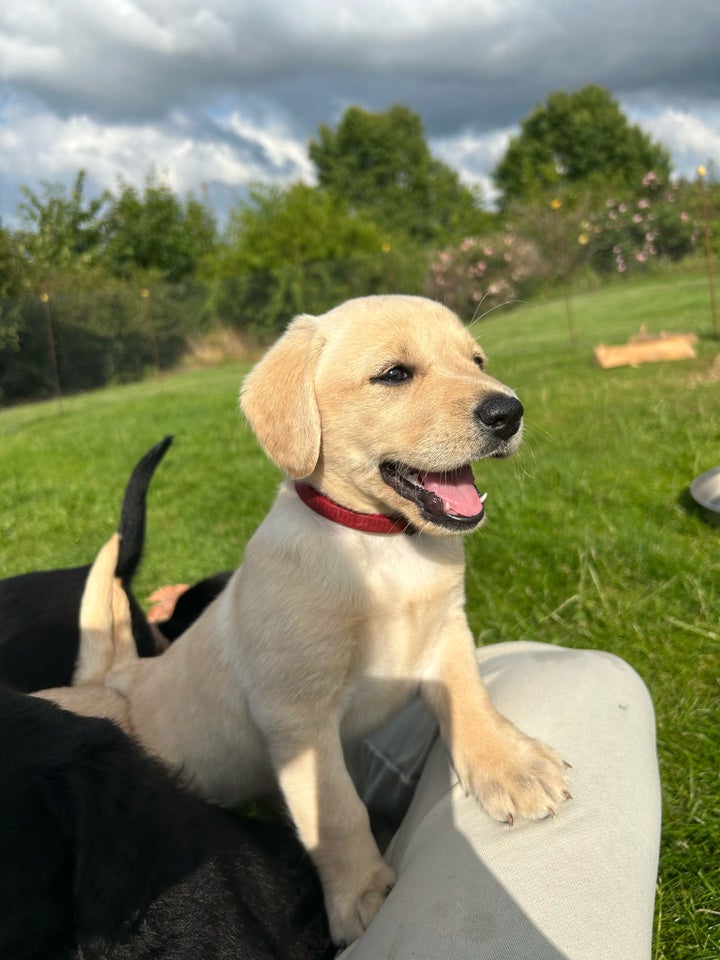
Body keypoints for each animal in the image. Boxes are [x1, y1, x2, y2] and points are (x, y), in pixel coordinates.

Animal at [97, 292, 568, 944]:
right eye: (394, 374)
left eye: (477, 361)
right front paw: (361, 894)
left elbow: (471, 698)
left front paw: (510, 766)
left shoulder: (448, 630)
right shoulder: (297, 717)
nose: (509, 411)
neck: (381, 543)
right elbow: (337, 810)